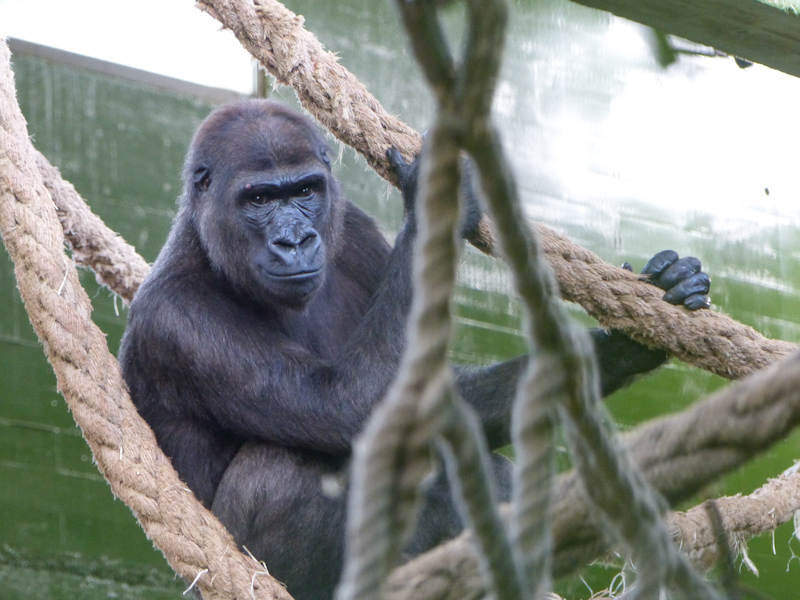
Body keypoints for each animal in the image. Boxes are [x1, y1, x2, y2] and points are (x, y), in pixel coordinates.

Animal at [117, 99, 708, 600]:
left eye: (304, 191)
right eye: (258, 199)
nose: (295, 241)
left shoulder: (354, 230)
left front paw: (625, 345)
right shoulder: (178, 319)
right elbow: (346, 404)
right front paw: (437, 196)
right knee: (285, 468)